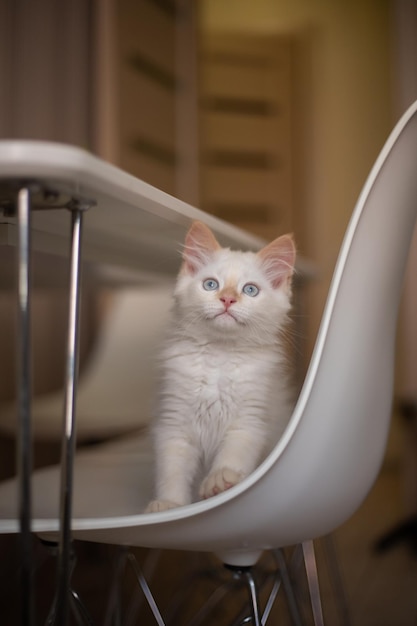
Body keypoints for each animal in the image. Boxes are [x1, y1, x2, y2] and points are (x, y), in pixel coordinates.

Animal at [146, 221, 296, 512]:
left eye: (250, 290)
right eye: (211, 284)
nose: (227, 299)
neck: (219, 355)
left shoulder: (250, 420)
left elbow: (233, 454)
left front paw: (220, 479)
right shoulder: (174, 423)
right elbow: (172, 470)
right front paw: (169, 504)